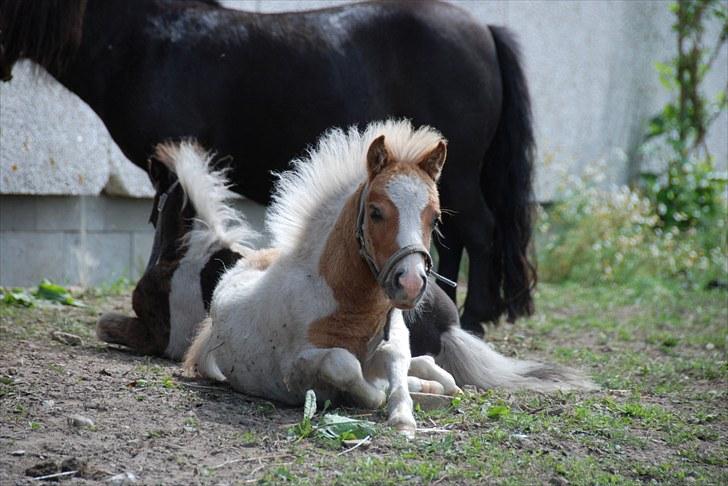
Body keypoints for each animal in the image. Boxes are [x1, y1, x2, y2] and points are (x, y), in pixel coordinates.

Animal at [0, 0, 536, 332]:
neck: (147, 44)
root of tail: (484, 30)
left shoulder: (172, 169)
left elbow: (172, 227)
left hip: (459, 176)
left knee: (480, 234)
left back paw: (475, 317)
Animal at [99, 119, 596, 434]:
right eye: (376, 212)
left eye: (434, 217)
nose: (411, 284)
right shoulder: (296, 370)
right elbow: (347, 367)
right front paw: (386, 398)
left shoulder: (394, 336)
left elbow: (401, 368)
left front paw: (407, 410)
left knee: (433, 367)